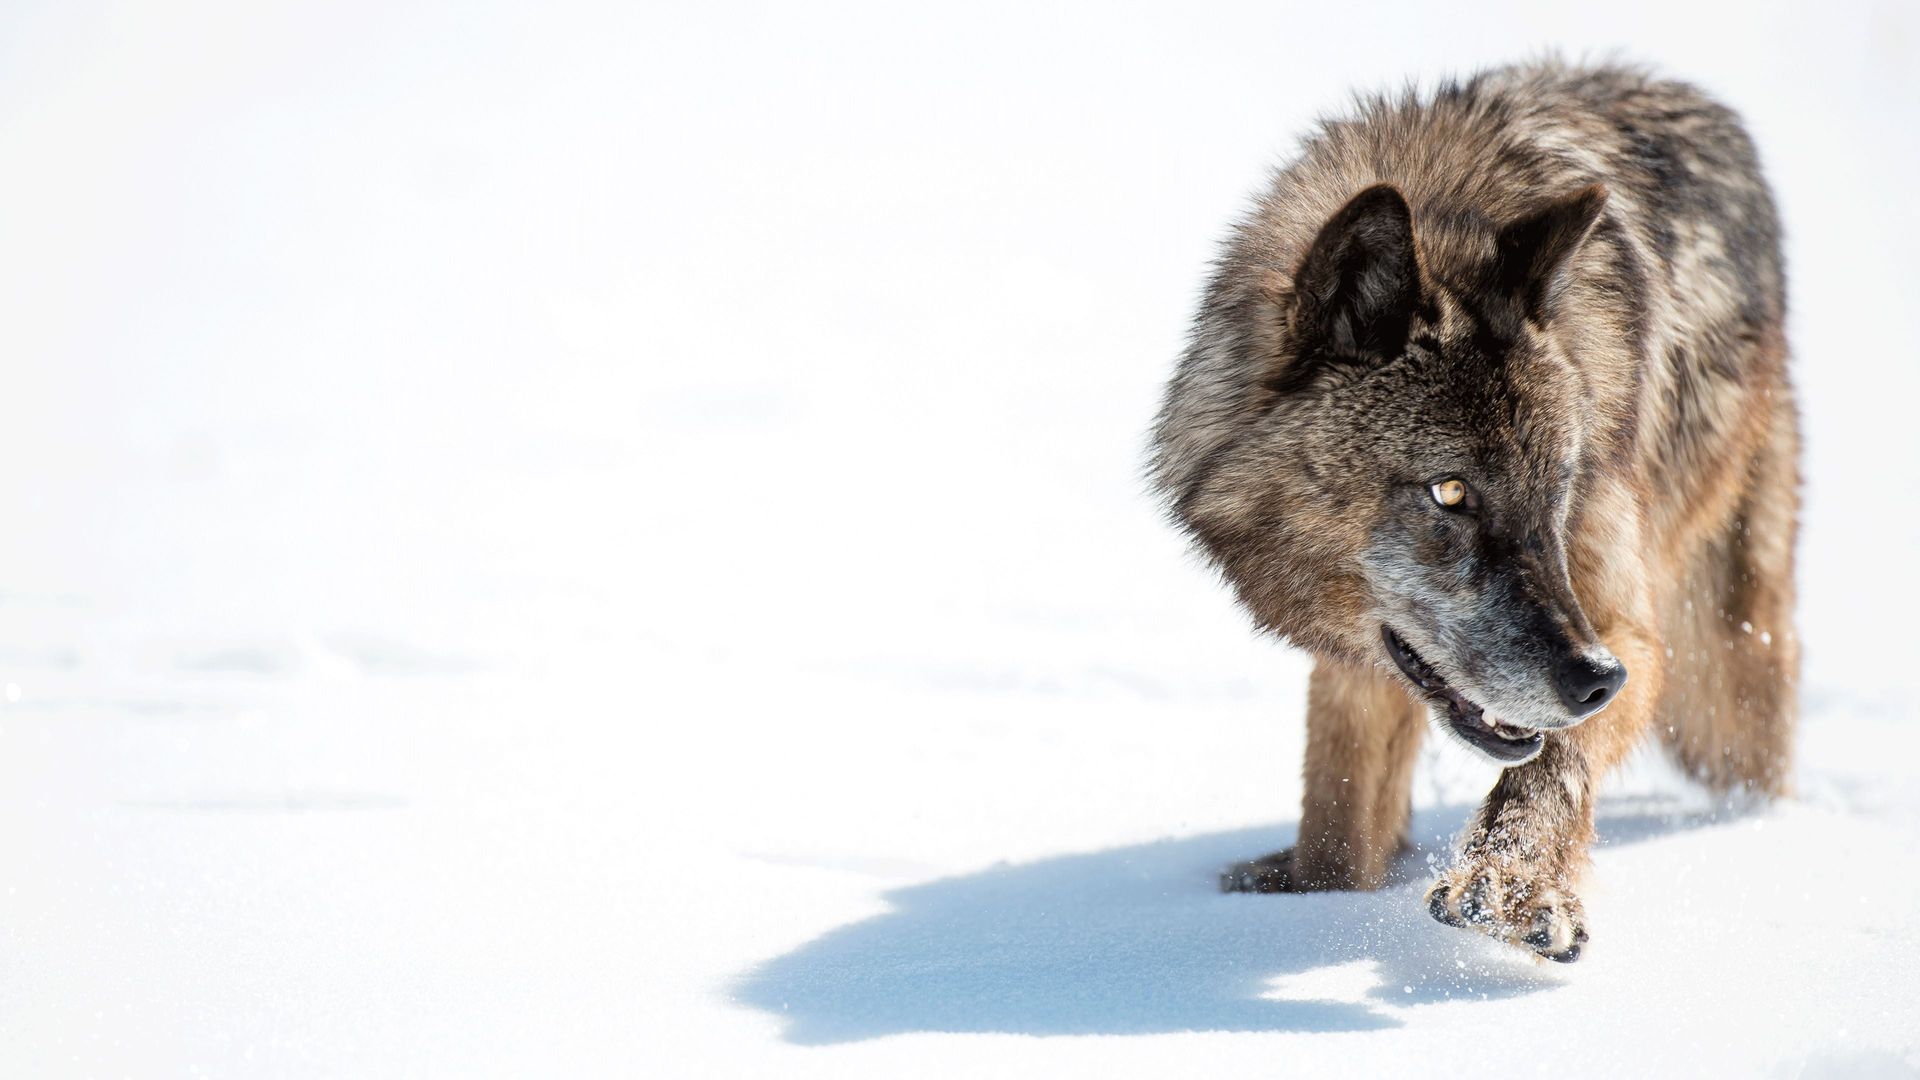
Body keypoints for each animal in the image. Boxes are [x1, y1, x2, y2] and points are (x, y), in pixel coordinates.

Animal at [1152, 62, 1797, 953]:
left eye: (1558, 488)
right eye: (1450, 492)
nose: (1595, 680)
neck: (1445, 212)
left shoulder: (1623, 625)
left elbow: (1554, 760)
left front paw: (1512, 884)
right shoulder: (1356, 664)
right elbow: (1338, 819)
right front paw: (1312, 900)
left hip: (1725, 675)